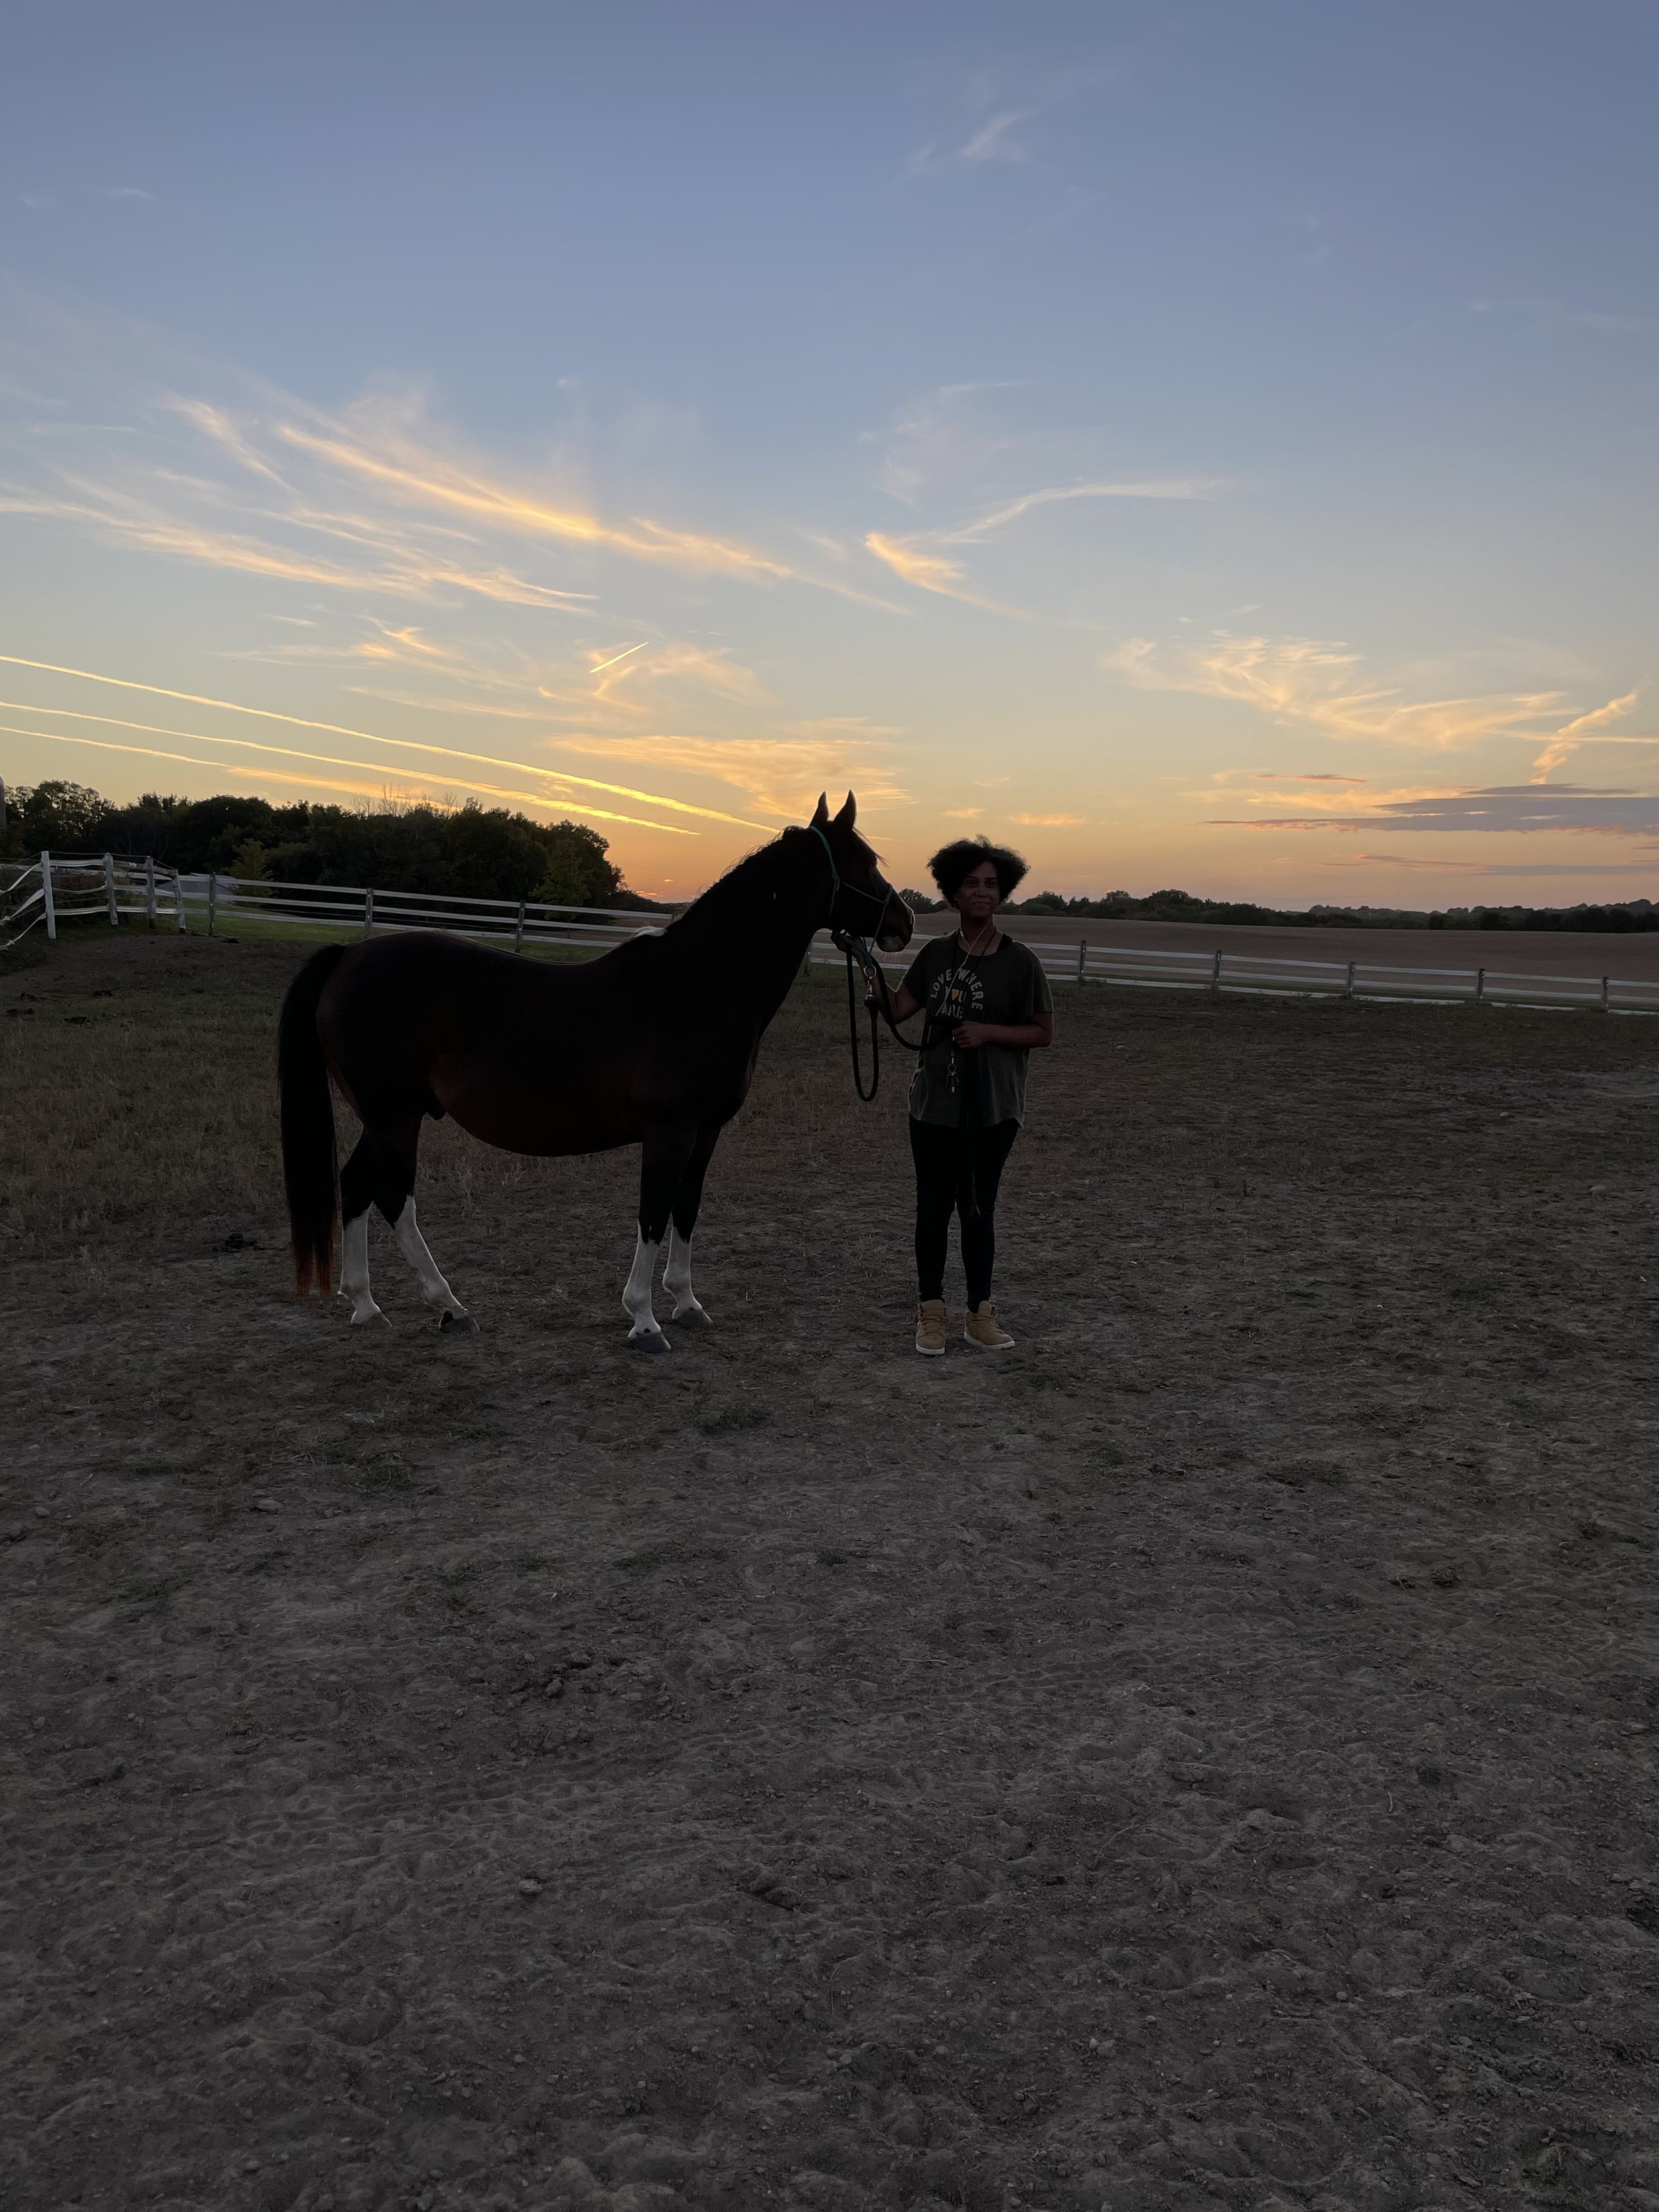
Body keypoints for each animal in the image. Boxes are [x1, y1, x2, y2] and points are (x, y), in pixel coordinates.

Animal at [276, 791, 912, 1352]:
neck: (699, 986)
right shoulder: (669, 1130)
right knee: (391, 1197)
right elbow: (653, 1212)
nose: (904, 923)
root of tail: (349, 956)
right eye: (863, 861)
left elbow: (686, 1208)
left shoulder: (705, 1130)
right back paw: (447, 1305)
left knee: (356, 1186)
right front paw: (644, 1319)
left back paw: (369, 1306)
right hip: (395, 1117)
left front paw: (686, 1302)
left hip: (385, 1119)